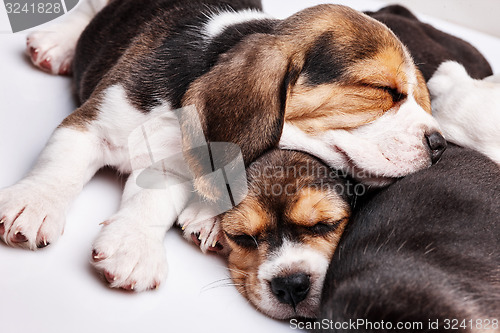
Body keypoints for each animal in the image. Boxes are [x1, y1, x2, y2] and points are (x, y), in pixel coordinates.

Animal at [0, 0, 446, 314]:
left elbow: (153, 202)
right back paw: (57, 41)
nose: (440, 144)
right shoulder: (92, 123)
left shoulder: (176, 167)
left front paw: (134, 244)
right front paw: (34, 203)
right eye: (381, 90)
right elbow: (61, 166)